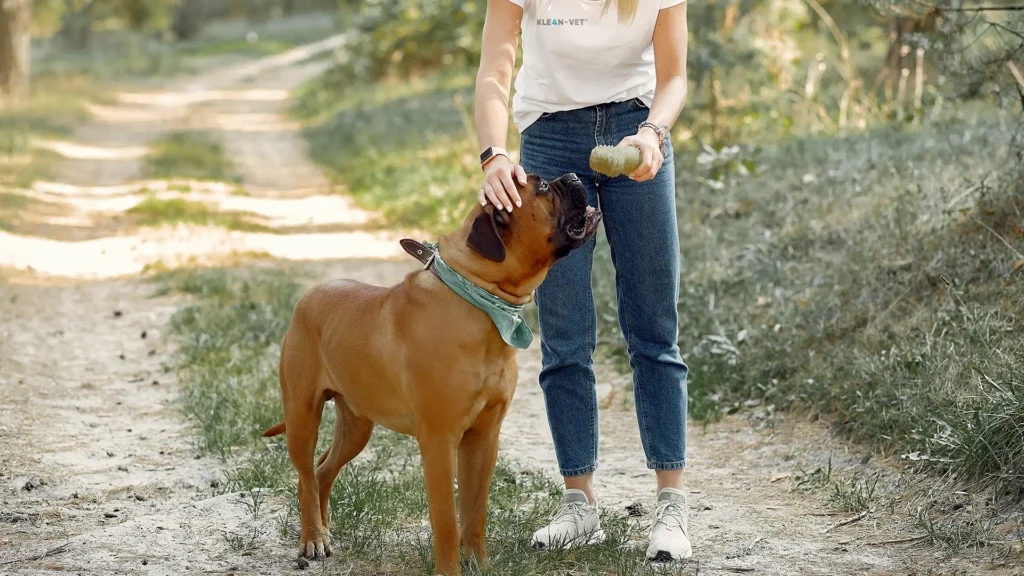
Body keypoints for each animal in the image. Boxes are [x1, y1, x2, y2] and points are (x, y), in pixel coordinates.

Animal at [262, 172, 598, 569]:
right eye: (542, 186)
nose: (575, 175)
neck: (478, 296)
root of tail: (309, 296)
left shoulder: (483, 438)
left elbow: (474, 513)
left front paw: (480, 565)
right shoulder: (439, 440)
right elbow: (447, 522)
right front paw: (449, 569)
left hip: (357, 426)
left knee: (322, 470)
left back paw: (324, 531)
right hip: (302, 417)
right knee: (304, 475)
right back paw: (312, 537)